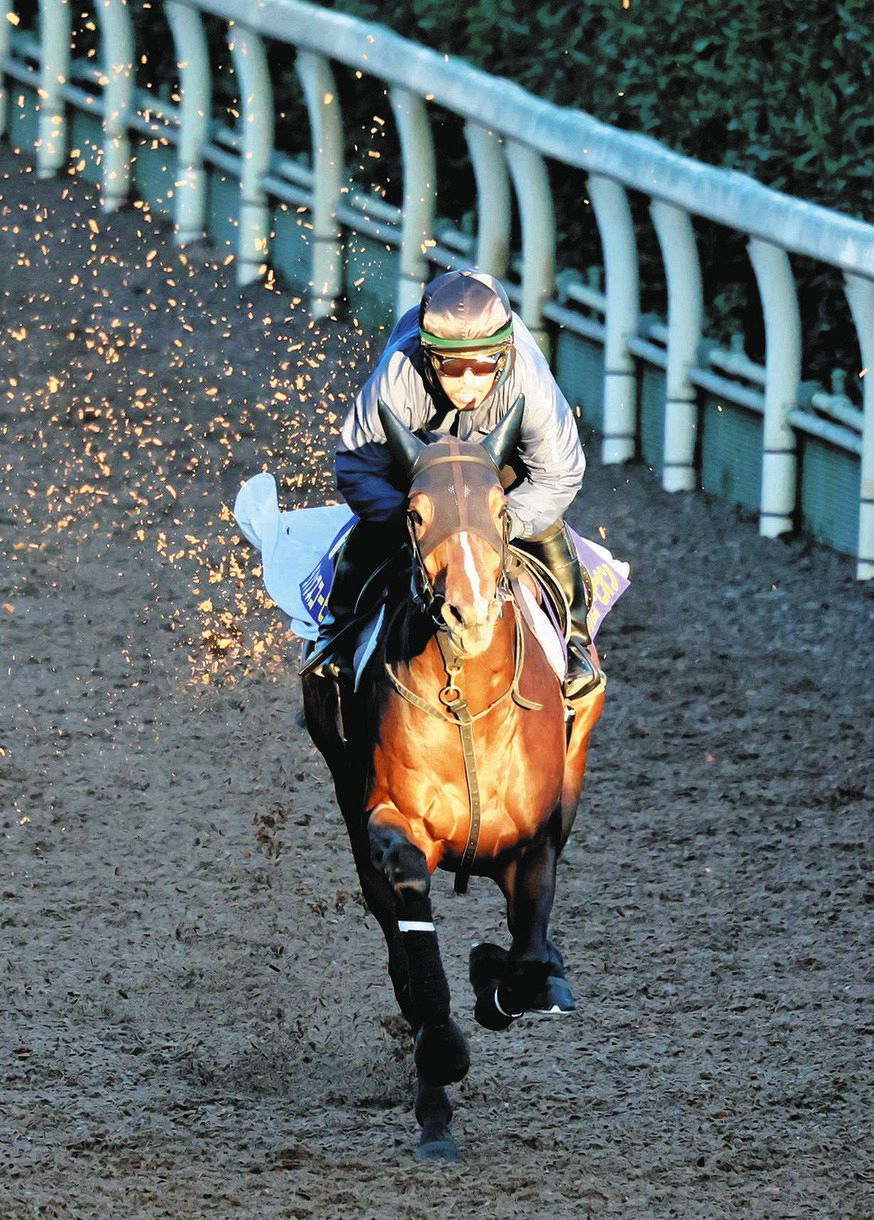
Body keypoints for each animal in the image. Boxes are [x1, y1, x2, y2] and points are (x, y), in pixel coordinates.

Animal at [301, 395, 606, 1160]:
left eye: (500, 509)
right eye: (413, 513)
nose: (467, 611)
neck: (466, 702)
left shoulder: (534, 843)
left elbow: (525, 960)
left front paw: (507, 977)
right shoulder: (388, 824)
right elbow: (421, 954)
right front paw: (441, 1064)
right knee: (397, 950)